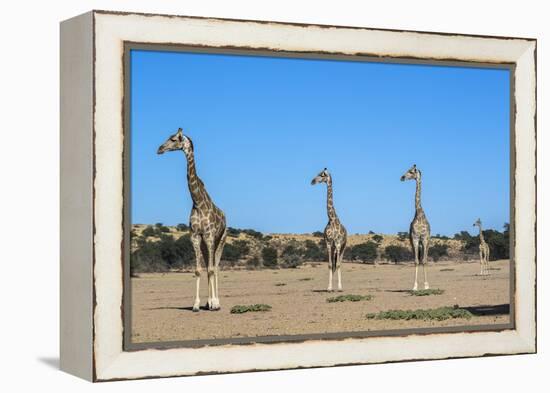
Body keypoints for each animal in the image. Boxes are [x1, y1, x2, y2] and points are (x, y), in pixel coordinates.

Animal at [157, 128, 229, 310]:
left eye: (174, 139)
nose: (159, 149)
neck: (197, 202)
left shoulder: (209, 235)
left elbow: (211, 269)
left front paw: (214, 304)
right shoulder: (195, 236)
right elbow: (198, 270)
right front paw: (197, 304)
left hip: (220, 239)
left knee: (215, 267)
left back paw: (216, 302)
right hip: (205, 243)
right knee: (209, 265)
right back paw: (208, 302)